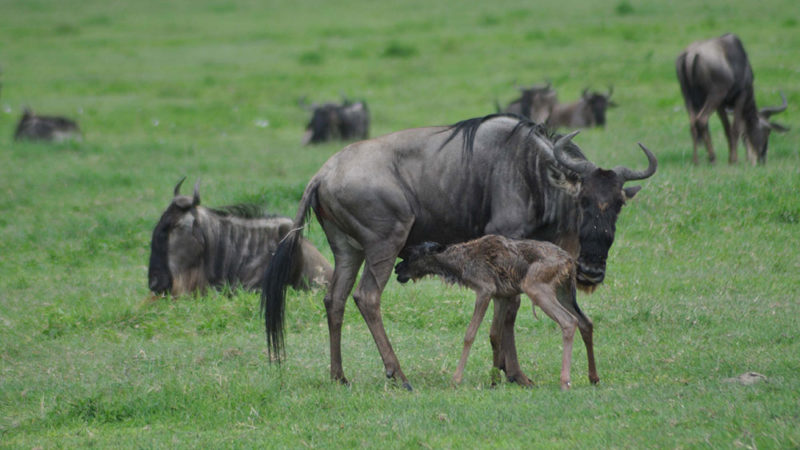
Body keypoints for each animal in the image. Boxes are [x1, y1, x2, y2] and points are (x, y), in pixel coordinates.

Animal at [396, 234, 596, 388]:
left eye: (412, 255)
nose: (397, 269)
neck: (459, 267)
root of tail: (570, 262)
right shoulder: (501, 296)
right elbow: (494, 335)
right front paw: (494, 380)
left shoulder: (485, 289)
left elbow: (470, 335)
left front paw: (456, 379)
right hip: (564, 292)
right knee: (586, 322)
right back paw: (593, 377)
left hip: (534, 286)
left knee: (568, 321)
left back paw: (565, 382)